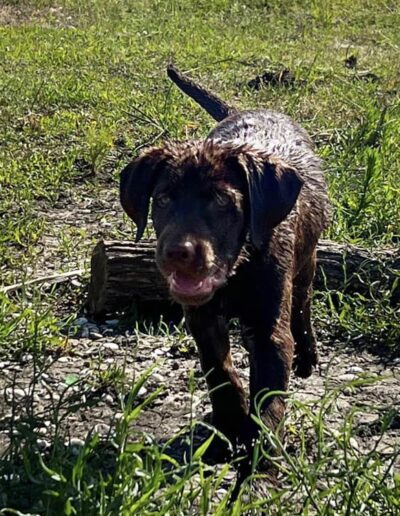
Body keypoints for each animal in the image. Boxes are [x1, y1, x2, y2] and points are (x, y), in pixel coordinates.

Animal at [119, 66, 332, 490]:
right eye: (162, 200)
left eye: (221, 202)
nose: (178, 253)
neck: (238, 269)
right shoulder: (202, 319)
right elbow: (220, 373)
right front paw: (230, 425)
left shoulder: (269, 331)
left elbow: (269, 400)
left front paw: (260, 468)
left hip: (307, 262)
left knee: (303, 304)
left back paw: (308, 354)